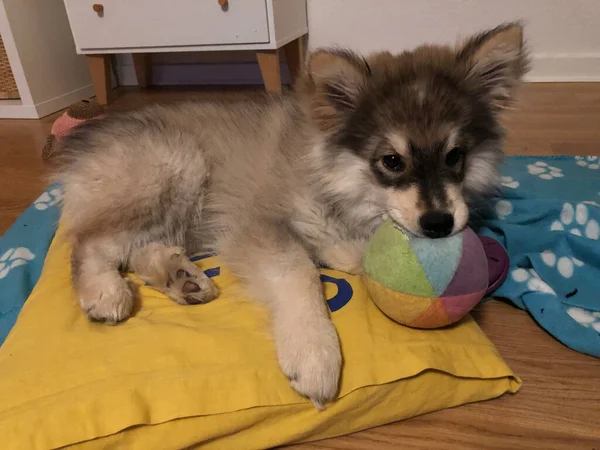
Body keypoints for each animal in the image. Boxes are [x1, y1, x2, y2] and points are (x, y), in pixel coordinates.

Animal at [54, 22, 528, 410]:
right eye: (391, 161)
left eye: (455, 156)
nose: (439, 224)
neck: (331, 173)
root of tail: (89, 138)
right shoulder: (258, 225)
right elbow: (299, 272)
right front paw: (314, 352)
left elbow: (349, 249)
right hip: (176, 166)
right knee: (91, 243)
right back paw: (106, 292)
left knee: (137, 247)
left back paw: (181, 277)